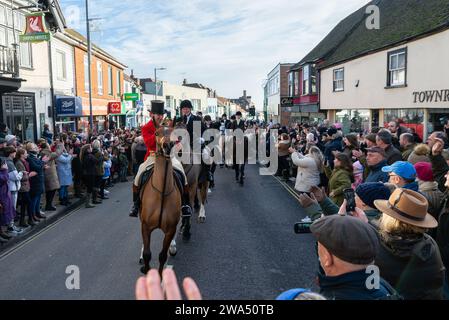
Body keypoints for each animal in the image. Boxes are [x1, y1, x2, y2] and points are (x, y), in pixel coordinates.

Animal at [140, 122, 182, 276]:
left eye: (173, 132)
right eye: (156, 133)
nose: (167, 146)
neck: (162, 192)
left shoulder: (170, 229)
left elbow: (162, 255)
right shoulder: (145, 226)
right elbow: (147, 253)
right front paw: (146, 269)